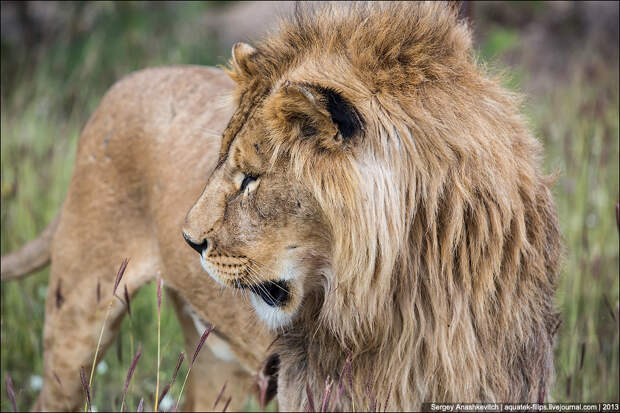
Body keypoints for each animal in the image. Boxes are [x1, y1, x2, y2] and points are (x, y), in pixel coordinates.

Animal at [0, 1, 560, 410]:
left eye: (251, 178)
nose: (189, 240)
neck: (420, 295)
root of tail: (123, 82)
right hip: (77, 320)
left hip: (216, 363)